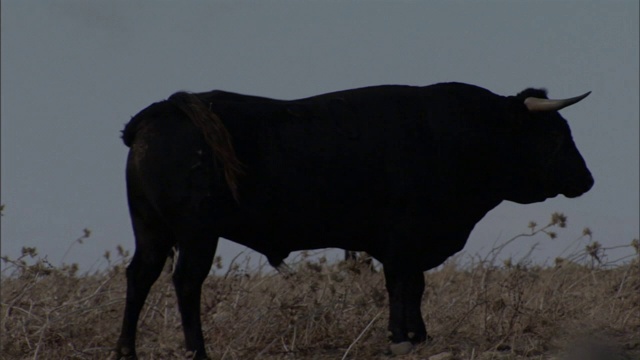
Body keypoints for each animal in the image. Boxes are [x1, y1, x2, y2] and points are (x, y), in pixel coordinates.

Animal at [115, 83, 596, 358]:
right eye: (556, 134)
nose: (587, 179)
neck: (464, 133)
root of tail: (167, 109)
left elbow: (411, 287)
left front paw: (418, 335)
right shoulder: (404, 239)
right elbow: (404, 285)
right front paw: (402, 337)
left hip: (150, 230)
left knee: (139, 276)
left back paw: (126, 350)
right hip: (197, 233)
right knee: (186, 282)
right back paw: (197, 351)